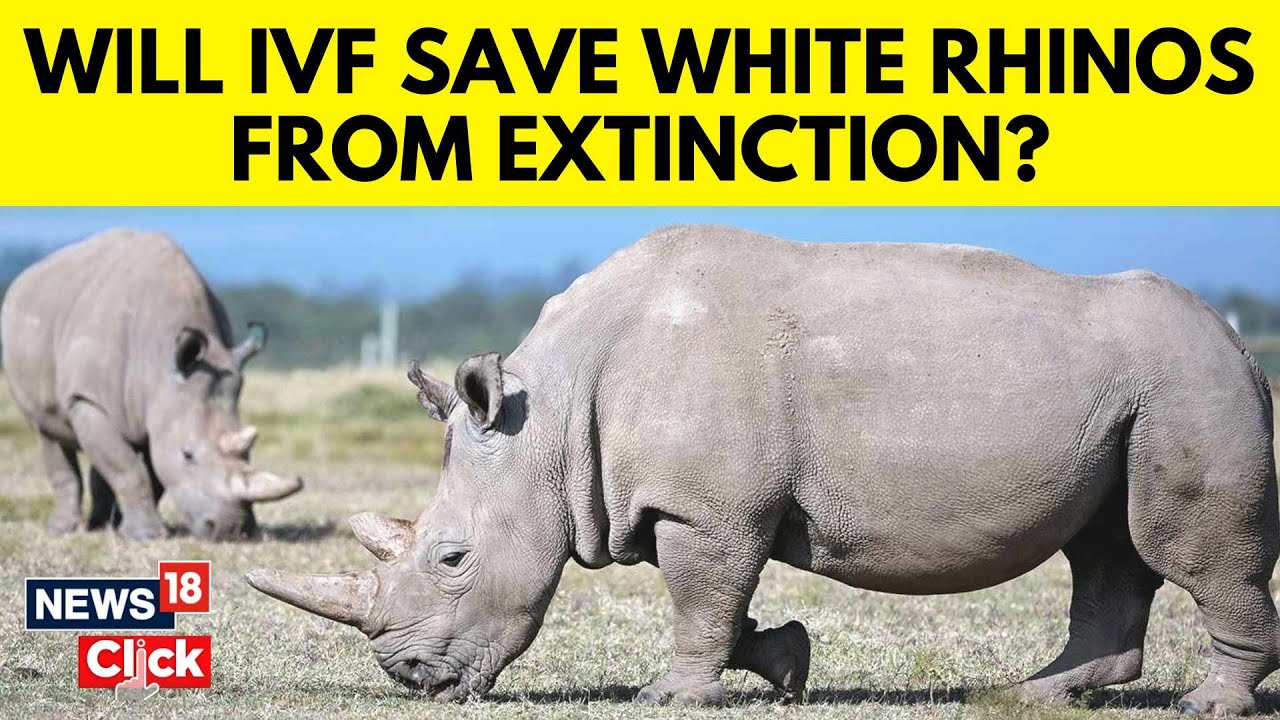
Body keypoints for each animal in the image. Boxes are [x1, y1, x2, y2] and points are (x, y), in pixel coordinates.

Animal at [1, 228, 302, 540]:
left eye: (248, 453)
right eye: (188, 455)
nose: (230, 530)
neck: (161, 365)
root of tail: (26, 275)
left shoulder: (163, 404)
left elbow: (152, 470)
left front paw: (134, 530)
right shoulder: (87, 398)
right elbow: (129, 469)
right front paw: (146, 535)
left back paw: (104, 525)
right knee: (47, 432)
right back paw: (64, 530)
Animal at [248, 226, 1277, 715]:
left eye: (453, 558)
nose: (412, 678)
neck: (550, 417)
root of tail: (1241, 342)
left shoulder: (705, 506)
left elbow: (699, 595)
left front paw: (671, 697)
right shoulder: (699, 503)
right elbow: (717, 599)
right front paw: (785, 664)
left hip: (1188, 383)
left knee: (1180, 548)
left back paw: (1207, 704)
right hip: (1138, 396)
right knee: (1105, 551)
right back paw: (1028, 695)